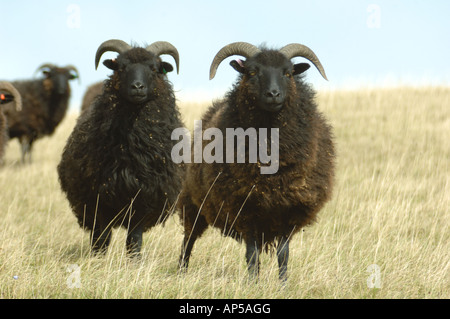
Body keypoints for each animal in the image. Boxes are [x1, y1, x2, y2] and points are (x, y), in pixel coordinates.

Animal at [58, 38, 185, 258]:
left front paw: (134, 261)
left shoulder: (143, 198)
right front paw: (98, 260)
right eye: (121, 67)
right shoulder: (99, 199)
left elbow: (134, 240)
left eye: (154, 68)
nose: (137, 86)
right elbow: (101, 238)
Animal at [178, 42, 336, 282]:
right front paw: (253, 283)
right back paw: (181, 271)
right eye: (252, 72)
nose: (273, 94)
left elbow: (283, 254)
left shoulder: (290, 210)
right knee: (189, 238)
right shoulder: (244, 207)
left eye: (288, 73)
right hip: (193, 202)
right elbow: (251, 253)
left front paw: (283, 284)